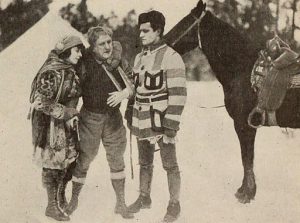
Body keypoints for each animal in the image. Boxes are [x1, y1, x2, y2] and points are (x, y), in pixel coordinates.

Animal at [164, 0, 300, 203]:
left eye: (185, 22)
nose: (162, 41)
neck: (242, 68)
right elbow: (246, 159)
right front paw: (245, 190)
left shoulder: (244, 124)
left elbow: (247, 158)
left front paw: (246, 194)